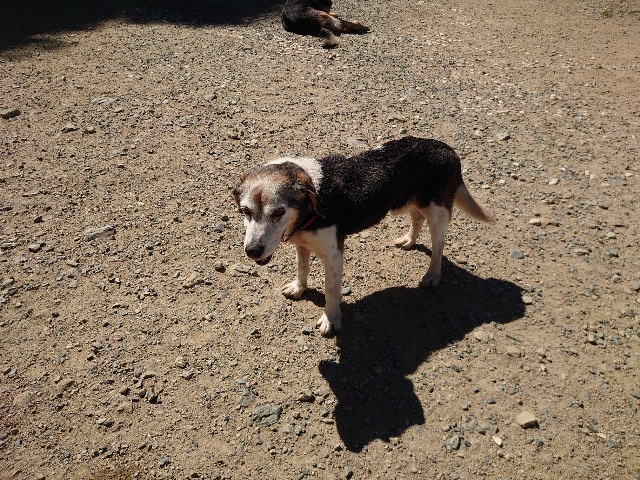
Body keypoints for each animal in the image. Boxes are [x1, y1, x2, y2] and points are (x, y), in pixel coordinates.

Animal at [231, 136, 495, 336]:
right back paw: (409, 241)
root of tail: (449, 150)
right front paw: (299, 288)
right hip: (409, 203)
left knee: (439, 244)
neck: (313, 200)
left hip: (437, 211)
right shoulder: (302, 243)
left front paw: (330, 320)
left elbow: (331, 292)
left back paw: (432, 275)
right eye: (245, 211)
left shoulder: (333, 257)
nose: (252, 251)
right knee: (416, 218)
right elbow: (302, 268)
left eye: (278, 212)